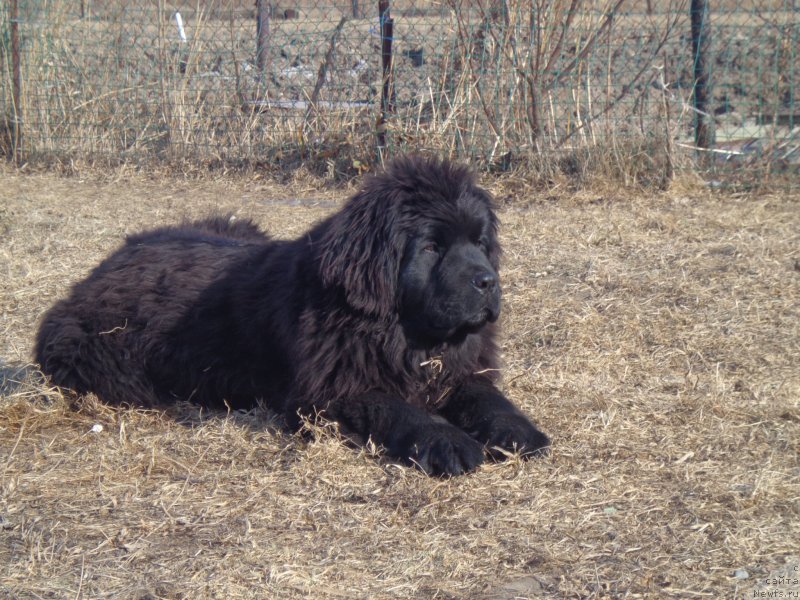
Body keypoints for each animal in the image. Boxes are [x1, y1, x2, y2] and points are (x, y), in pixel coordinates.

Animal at [36, 157, 552, 476]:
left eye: (480, 242)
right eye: (431, 247)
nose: (488, 280)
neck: (402, 334)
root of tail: (105, 263)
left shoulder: (461, 370)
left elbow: (489, 399)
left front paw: (519, 431)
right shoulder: (328, 393)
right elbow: (398, 409)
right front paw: (448, 441)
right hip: (97, 353)